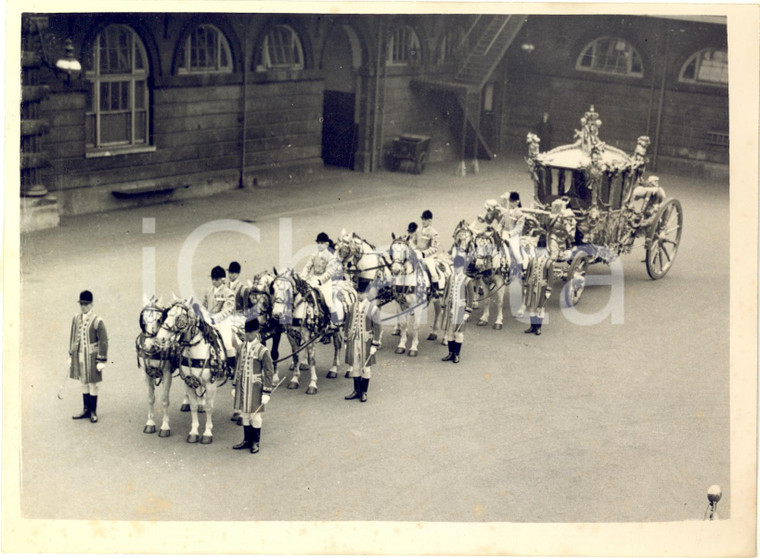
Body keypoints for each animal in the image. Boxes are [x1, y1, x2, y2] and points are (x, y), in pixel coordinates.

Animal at [135, 300, 175, 440]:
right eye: (143, 320)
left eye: (159, 319)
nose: (149, 345)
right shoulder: (146, 374)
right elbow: (150, 398)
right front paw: (150, 423)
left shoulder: (167, 374)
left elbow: (165, 400)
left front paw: (165, 426)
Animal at [151, 300, 229, 444]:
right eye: (167, 315)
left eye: (179, 318)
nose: (160, 338)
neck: (196, 349)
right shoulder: (189, 382)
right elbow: (193, 405)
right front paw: (193, 432)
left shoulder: (211, 384)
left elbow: (209, 407)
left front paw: (207, 433)